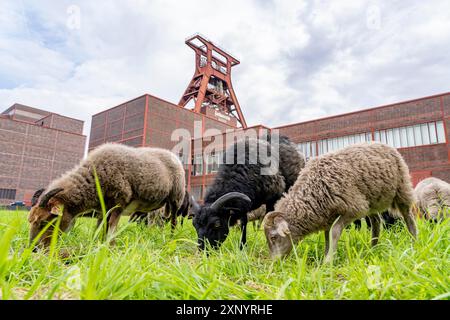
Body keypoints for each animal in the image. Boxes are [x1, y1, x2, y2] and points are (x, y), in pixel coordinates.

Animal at [27, 143, 185, 250]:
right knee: (156, 220)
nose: (33, 249)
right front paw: (98, 242)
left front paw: (111, 246)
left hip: (176, 197)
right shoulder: (103, 208)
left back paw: (172, 237)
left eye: (44, 222)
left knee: (173, 220)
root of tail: (173, 155)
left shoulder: (120, 201)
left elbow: (111, 226)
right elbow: (100, 226)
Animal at [264, 142, 418, 262]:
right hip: (369, 201)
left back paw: (413, 241)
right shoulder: (328, 216)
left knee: (408, 217)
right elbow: (327, 237)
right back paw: (372, 248)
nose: (275, 262)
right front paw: (326, 257)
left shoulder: (353, 208)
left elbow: (334, 232)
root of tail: (383, 144)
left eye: (273, 237)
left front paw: (329, 260)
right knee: (376, 222)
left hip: (401, 189)